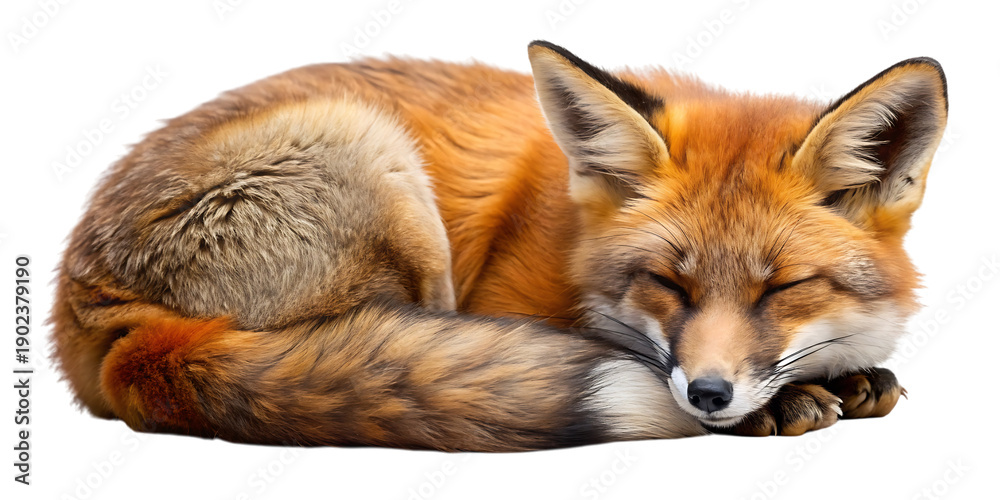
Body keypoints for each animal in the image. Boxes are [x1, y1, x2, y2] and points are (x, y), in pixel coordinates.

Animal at [50, 41, 948, 451]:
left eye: (781, 289)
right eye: (668, 283)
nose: (709, 396)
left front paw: (846, 376)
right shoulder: (507, 301)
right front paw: (787, 402)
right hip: (378, 162)